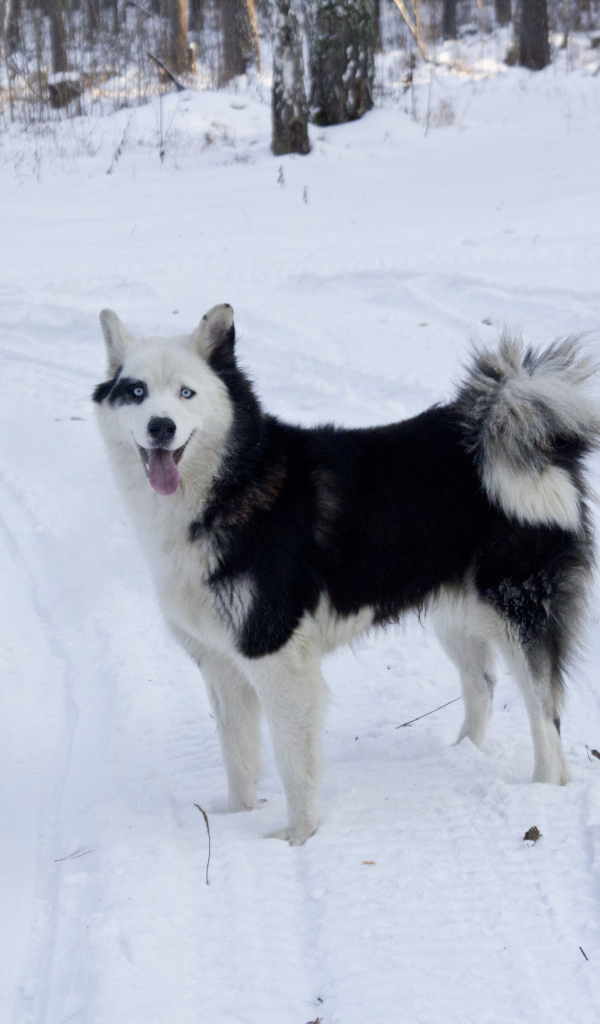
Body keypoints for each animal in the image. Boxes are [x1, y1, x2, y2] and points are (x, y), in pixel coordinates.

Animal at [94, 304, 598, 845]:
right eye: (136, 391)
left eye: (186, 393)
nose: (161, 427)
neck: (232, 483)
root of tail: (512, 422)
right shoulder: (220, 663)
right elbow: (239, 761)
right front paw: (235, 820)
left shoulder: (278, 656)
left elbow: (293, 764)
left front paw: (298, 838)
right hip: (457, 611)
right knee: (482, 682)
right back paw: (460, 754)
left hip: (517, 607)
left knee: (544, 710)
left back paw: (543, 788)